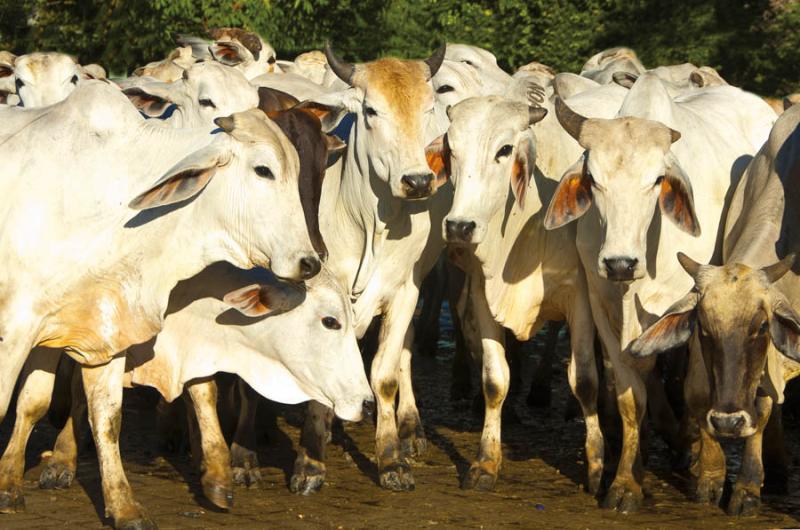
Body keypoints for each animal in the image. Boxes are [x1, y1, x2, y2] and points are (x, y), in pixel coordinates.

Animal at [0, 81, 318, 524]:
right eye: (263, 170)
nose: (310, 262)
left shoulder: (100, 325)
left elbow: (101, 416)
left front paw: (123, 506)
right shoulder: (15, 329)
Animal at [540, 72, 780, 510]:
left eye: (655, 180)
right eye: (593, 180)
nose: (620, 263)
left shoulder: (699, 305)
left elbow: (699, 391)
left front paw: (711, 475)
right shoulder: (602, 306)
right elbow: (630, 398)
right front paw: (626, 482)